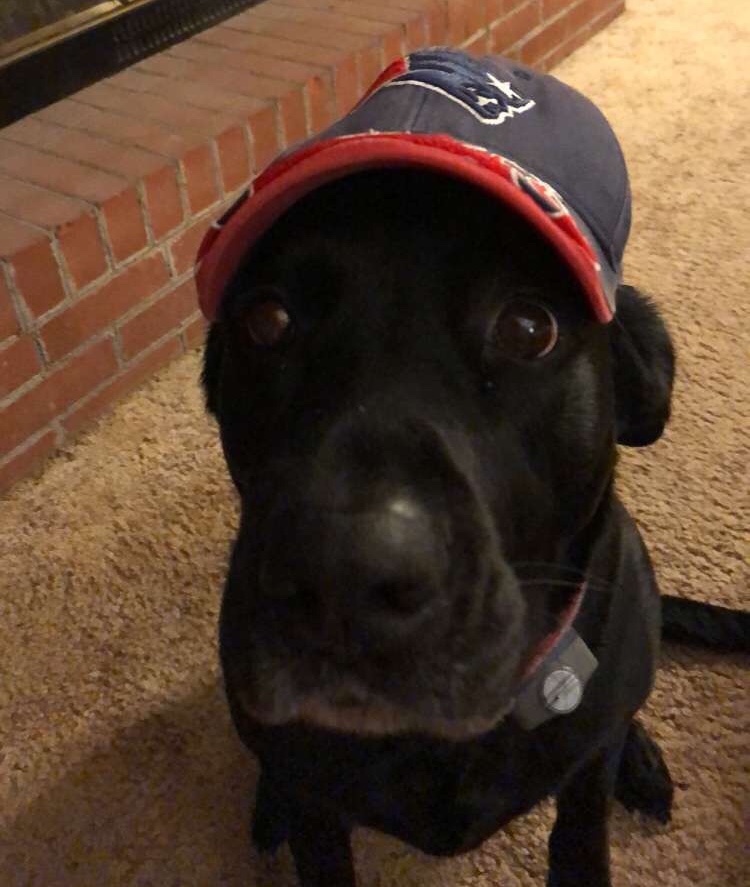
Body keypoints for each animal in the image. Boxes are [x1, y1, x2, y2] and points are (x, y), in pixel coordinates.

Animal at [201, 168, 750, 887]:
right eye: (267, 321)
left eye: (529, 328)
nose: (342, 578)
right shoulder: (316, 810)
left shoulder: (583, 789)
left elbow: (582, 827)